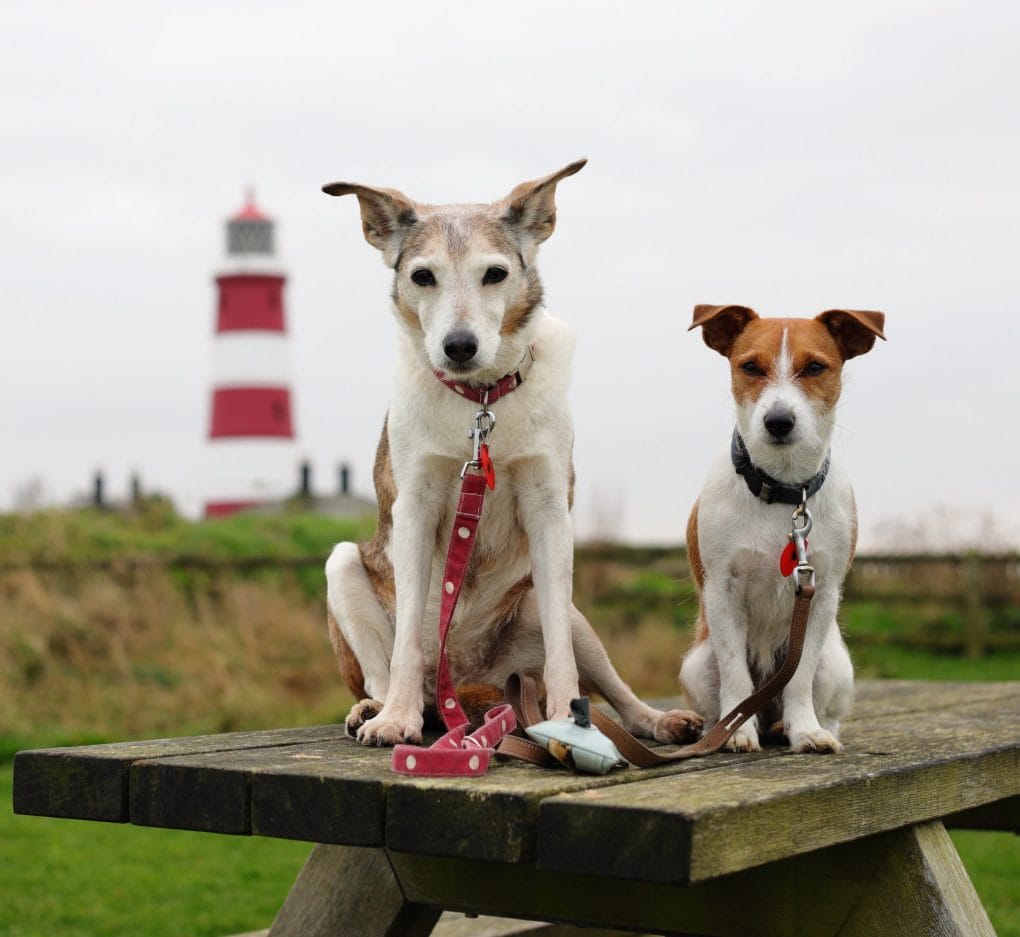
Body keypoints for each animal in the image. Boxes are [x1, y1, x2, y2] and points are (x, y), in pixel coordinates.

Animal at [322, 161, 697, 746]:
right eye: (422, 276)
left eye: (494, 274)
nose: (459, 345)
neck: (480, 401)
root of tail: (468, 686)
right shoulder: (415, 506)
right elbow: (405, 641)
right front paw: (396, 719)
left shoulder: (548, 509)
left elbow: (565, 658)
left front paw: (566, 719)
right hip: (341, 566)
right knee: (381, 670)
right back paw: (379, 708)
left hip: (560, 612)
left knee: (611, 686)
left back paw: (657, 721)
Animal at [677, 305, 885, 754]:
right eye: (751, 367)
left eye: (815, 367)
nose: (778, 421)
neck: (785, 491)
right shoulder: (722, 591)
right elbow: (736, 675)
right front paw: (737, 733)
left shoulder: (821, 592)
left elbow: (800, 677)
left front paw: (805, 730)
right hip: (698, 664)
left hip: (836, 666)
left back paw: (794, 727)